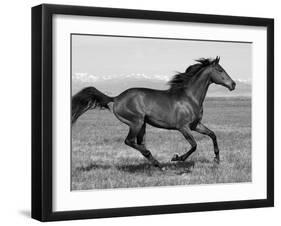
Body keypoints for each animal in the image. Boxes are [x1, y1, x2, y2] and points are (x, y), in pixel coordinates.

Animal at [71, 57, 234, 169]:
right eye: (220, 70)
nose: (233, 84)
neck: (189, 97)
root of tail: (116, 98)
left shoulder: (196, 125)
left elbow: (213, 135)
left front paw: (217, 160)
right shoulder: (183, 127)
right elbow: (194, 145)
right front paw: (176, 158)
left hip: (142, 124)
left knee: (139, 143)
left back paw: (156, 163)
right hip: (136, 122)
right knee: (130, 141)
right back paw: (157, 163)